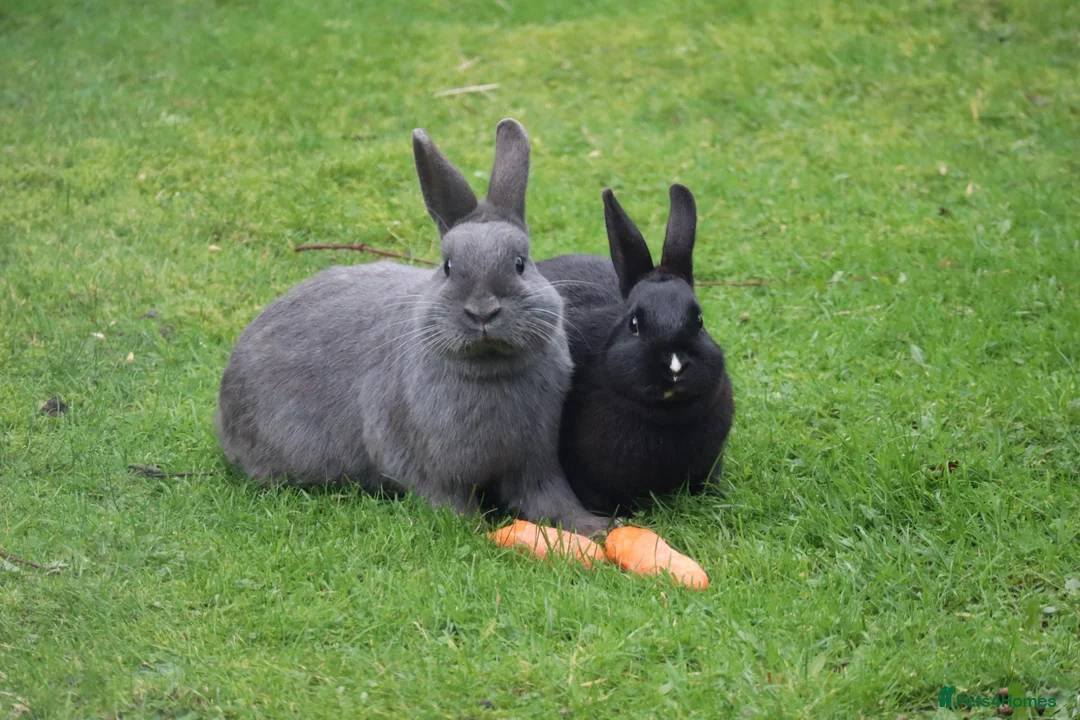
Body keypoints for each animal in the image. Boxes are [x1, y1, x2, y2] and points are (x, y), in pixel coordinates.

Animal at [217, 119, 610, 537]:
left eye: (520, 264)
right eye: (448, 267)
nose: (482, 311)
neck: (490, 368)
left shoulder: (536, 458)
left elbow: (549, 497)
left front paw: (594, 527)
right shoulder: (427, 462)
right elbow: (447, 499)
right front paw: (473, 529)